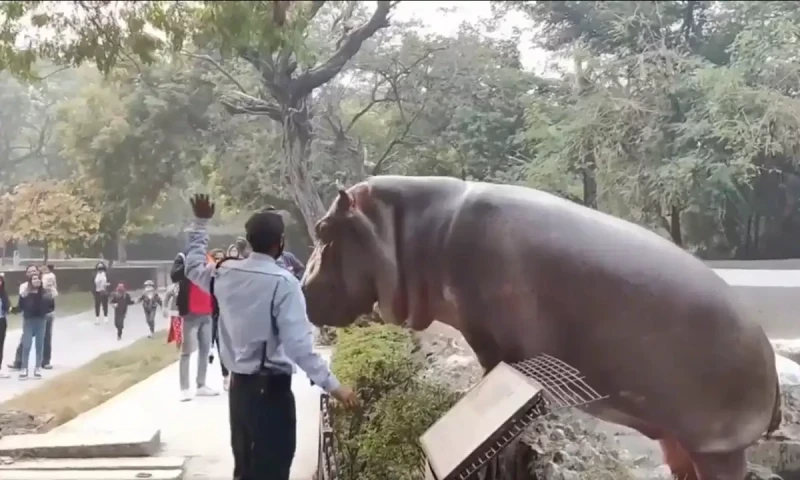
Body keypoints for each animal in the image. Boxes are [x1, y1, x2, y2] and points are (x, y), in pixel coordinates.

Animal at [301, 175, 781, 480]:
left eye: (323, 227)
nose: (302, 285)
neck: (406, 229)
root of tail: (770, 357)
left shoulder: (491, 335)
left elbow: (492, 372)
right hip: (677, 436)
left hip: (718, 447)